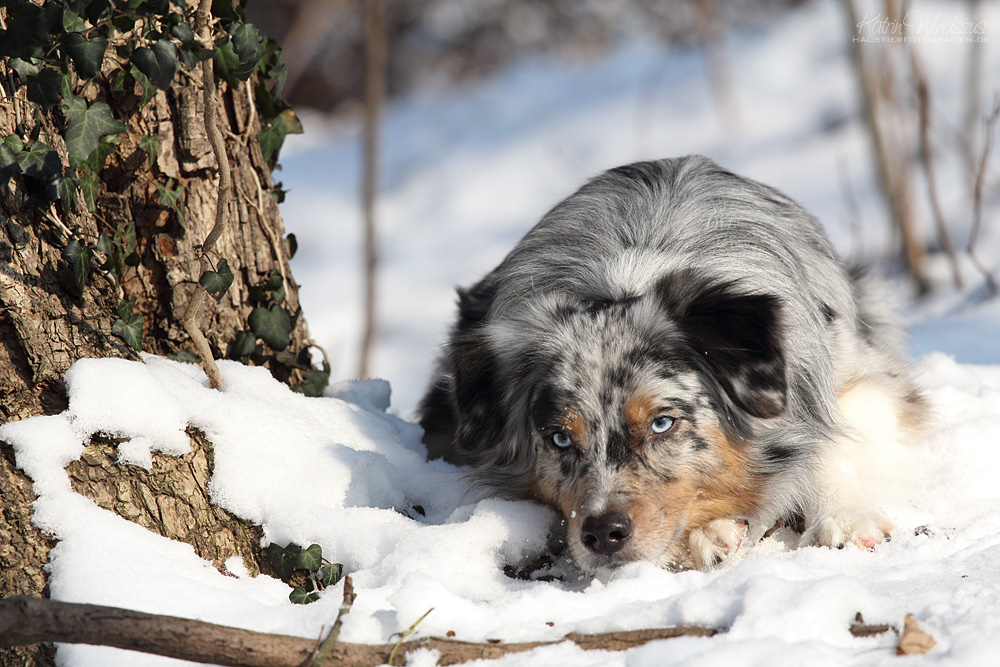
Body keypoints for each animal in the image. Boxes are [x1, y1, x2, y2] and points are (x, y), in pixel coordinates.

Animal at [414, 157, 920, 576]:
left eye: (662, 423)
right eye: (559, 439)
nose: (603, 534)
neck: (628, 278)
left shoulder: (860, 372)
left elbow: (830, 436)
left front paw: (844, 516)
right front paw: (710, 533)